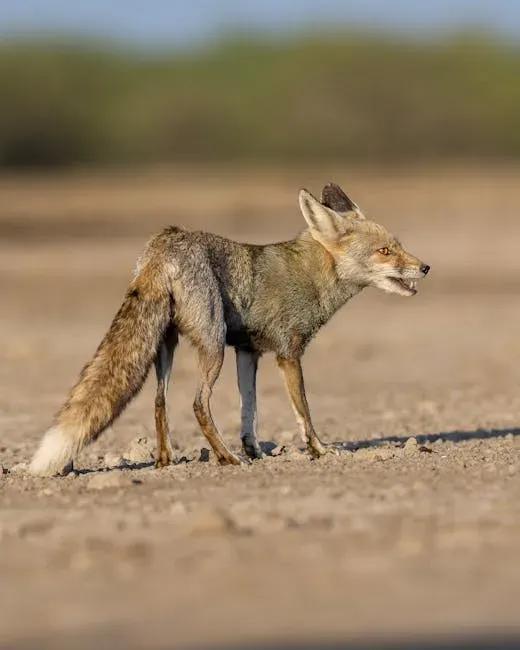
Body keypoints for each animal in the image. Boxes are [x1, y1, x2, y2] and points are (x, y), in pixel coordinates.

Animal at [29, 183, 430, 477]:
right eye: (385, 251)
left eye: (399, 246)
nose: (425, 267)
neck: (313, 277)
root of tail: (164, 243)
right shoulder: (288, 353)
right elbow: (304, 412)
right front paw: (319, 450)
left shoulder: (248, 351)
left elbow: (249, 411)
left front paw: (255, 451)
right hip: (212, 344)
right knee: (198, 403)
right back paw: (224, 458)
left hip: (166, 347)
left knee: (159, 401)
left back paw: (165, 461)